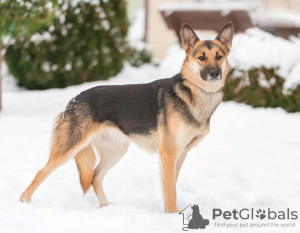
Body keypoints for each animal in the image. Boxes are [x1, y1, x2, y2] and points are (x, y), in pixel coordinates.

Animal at [19, 22, 234, 213]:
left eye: (219, 56)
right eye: (201, 57)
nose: (215, 73)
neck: (195, 92)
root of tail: (72, 101)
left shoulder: (180, 155)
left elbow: (170, 186)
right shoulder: (168, 154)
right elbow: (170, 190)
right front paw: (172, 214)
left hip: (117, 151)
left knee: (95, 177)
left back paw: (106, 208)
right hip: (68, 150)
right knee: (41, 173)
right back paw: (23, 203)